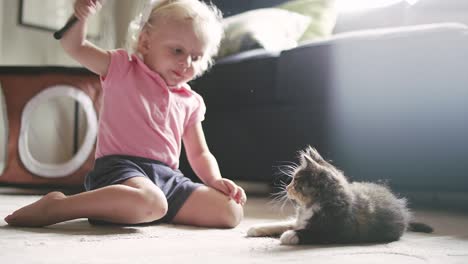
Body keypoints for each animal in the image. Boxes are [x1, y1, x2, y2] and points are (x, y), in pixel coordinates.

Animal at [247, 146, 434, 245]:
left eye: (296, 180)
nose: (286, 187)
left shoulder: (336, 230)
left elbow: (310, 232)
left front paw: (289, 235)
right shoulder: (300, 220)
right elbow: (283, 224)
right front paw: (256, 228)